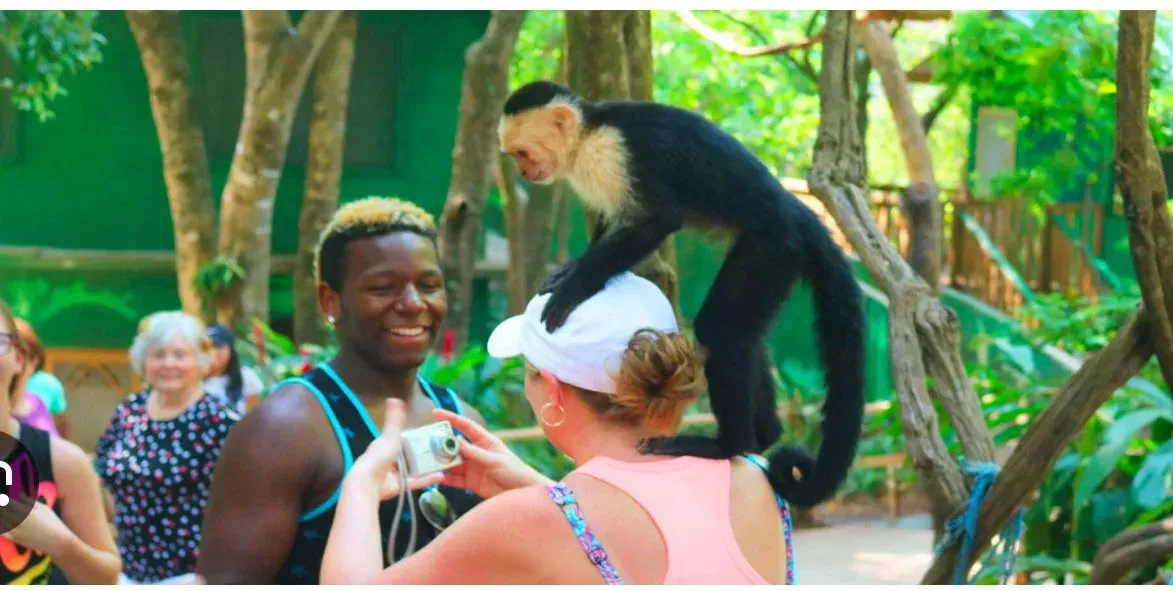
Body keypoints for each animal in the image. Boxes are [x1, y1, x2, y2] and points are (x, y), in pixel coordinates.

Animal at [497, 80, 867, 508]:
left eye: (522, 153)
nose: (523, 171)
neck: (587, 133)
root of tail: (799, 212)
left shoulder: (613, 152)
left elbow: (658, 219)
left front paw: (576, 285)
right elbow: (611, 220)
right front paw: (571, 270)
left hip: (774, 246)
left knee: (721, 330)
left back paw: (728, 445)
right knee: (747, 335)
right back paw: (764, 435)